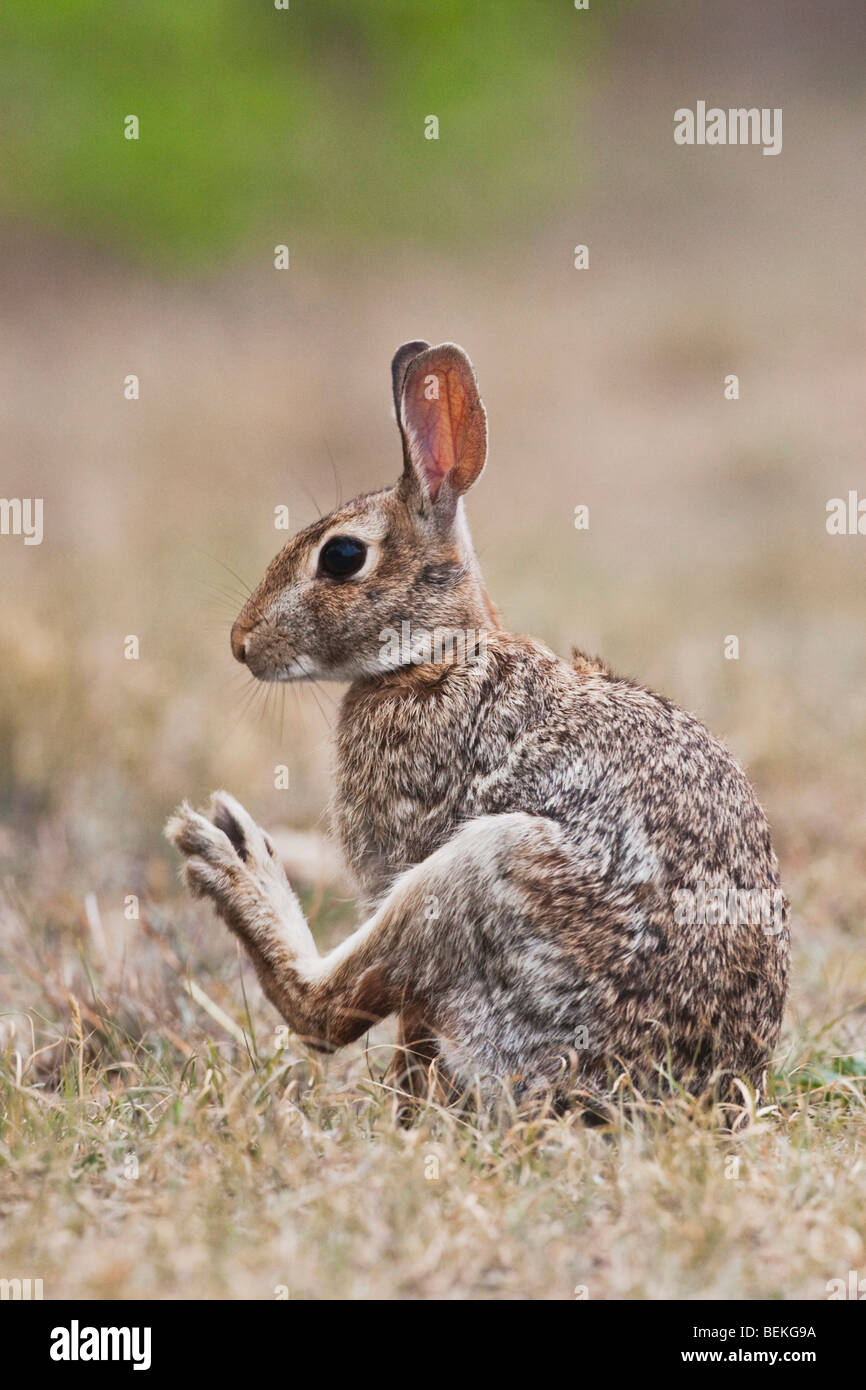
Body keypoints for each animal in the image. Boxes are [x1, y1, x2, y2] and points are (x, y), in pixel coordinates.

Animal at [164, 341, 795, 1112]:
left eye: (341, 557)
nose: (241, 643)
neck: (435, 655)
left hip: (485, 871)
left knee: (323, 1012)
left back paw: (232, 860)